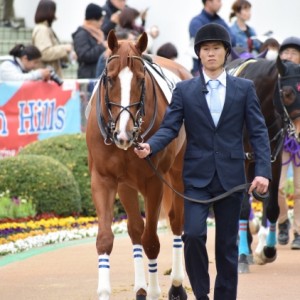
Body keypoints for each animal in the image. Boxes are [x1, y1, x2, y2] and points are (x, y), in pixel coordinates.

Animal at [84, 31, 192, 300]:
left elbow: (151, 240)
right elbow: (105, 238)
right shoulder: (103, 179)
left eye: (141, 81)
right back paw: (141, 288)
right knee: (135, 229)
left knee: (176, 221)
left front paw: (155, 291)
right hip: (126, 185)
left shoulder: (154, 182)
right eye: (110, 79)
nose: (123, 134)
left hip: (177, 175)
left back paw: (176, 285)